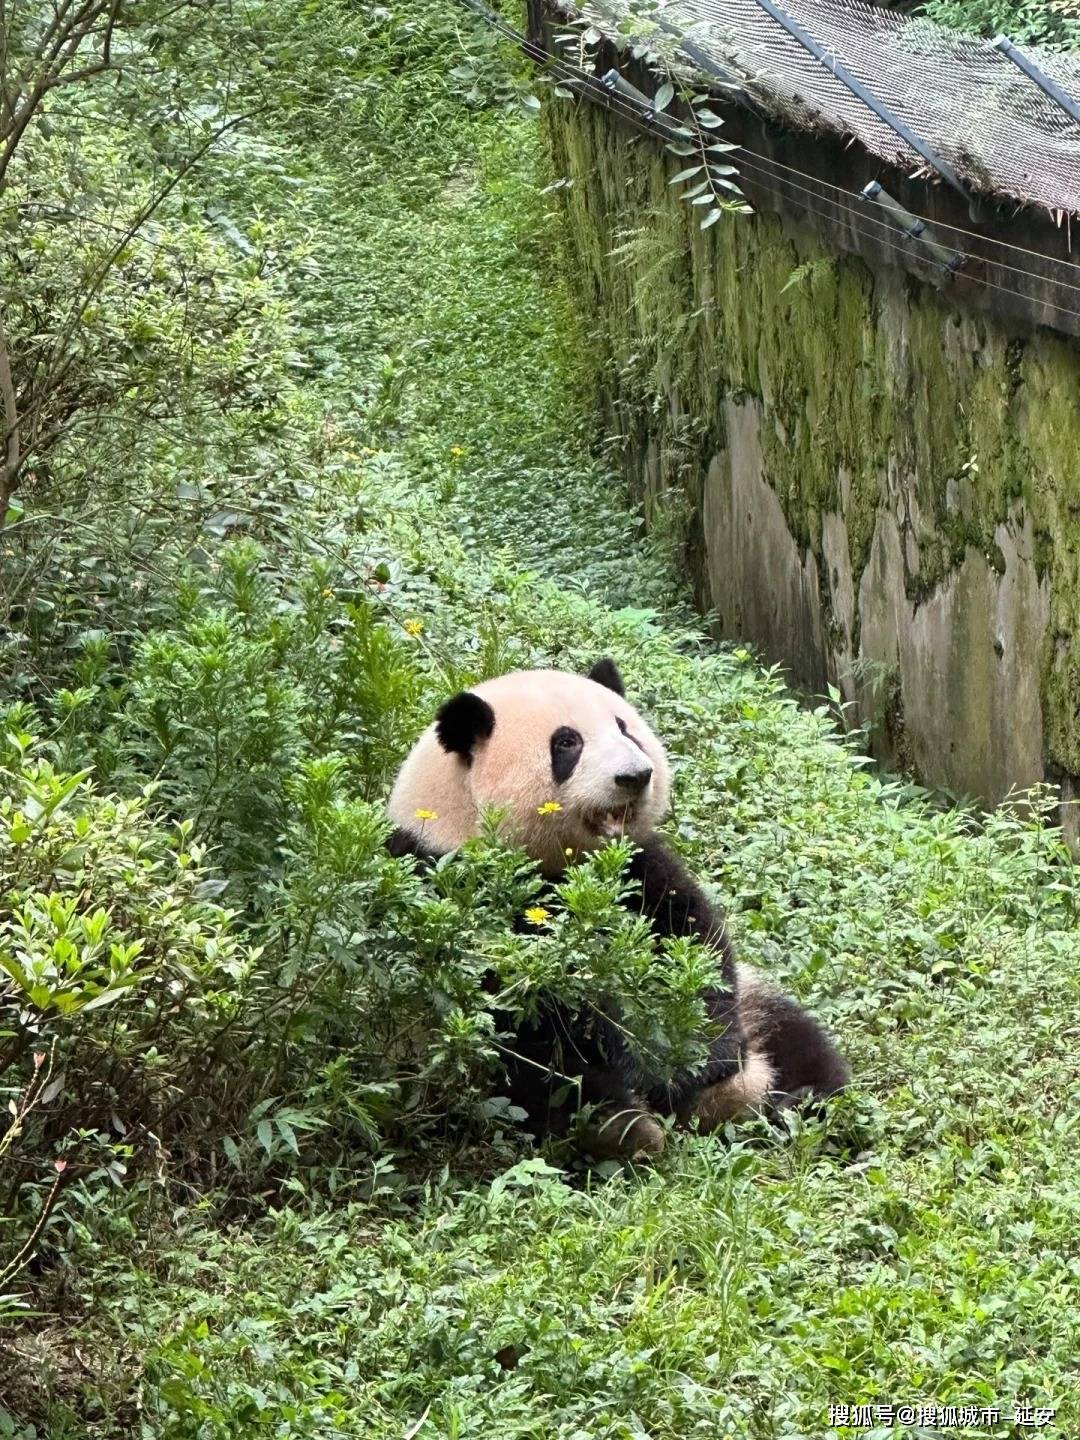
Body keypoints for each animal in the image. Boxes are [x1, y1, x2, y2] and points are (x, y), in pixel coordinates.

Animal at [385, 659, 852, 1157]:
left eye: (625, 729)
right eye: (567, 743)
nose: (636, 776)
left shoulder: (638, 865)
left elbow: (691, 940)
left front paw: (694, 1057)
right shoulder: (449, 886)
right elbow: (545, 1010)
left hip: (756, 1003)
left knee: (793, 1036)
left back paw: (798, 1101)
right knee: (549, 1084)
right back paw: (629, 1132)